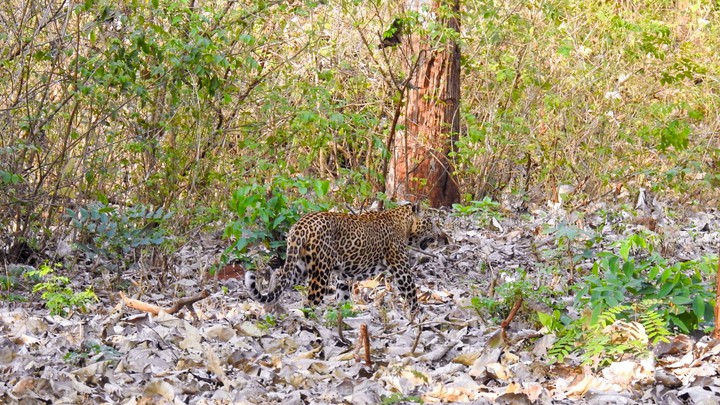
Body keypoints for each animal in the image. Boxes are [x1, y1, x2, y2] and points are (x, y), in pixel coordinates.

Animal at [244, 203, 447, 317]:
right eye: (430, 223)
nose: (442, 236)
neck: (404, 224)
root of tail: (301, 225)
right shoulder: (401, 269)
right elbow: (411, 293)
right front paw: (418, 315)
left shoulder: (343, 276)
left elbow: (343, 297)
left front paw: (344, 317)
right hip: (320, 271)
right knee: (310, 302)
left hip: (299, 266)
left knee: (279, 275)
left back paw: (271, 308)